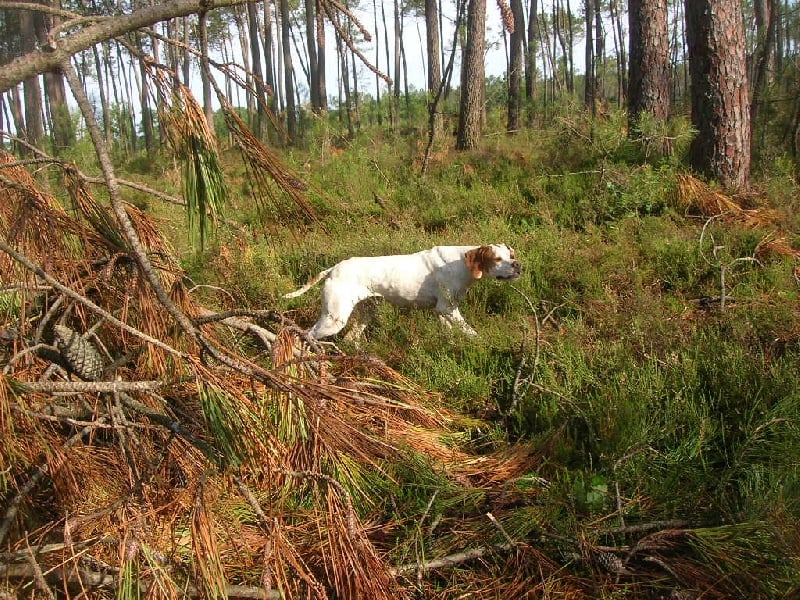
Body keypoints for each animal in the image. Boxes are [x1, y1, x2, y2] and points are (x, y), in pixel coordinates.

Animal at [284, 243, 520, 338]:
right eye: (497, 259)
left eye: (511, 255)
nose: (518, 265)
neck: (462, 263)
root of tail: (333, 269)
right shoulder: (447, 309)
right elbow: (471, 333)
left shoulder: (443, 312)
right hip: (333, 319)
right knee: (307, 336)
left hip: (366, 312)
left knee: (352, 338)